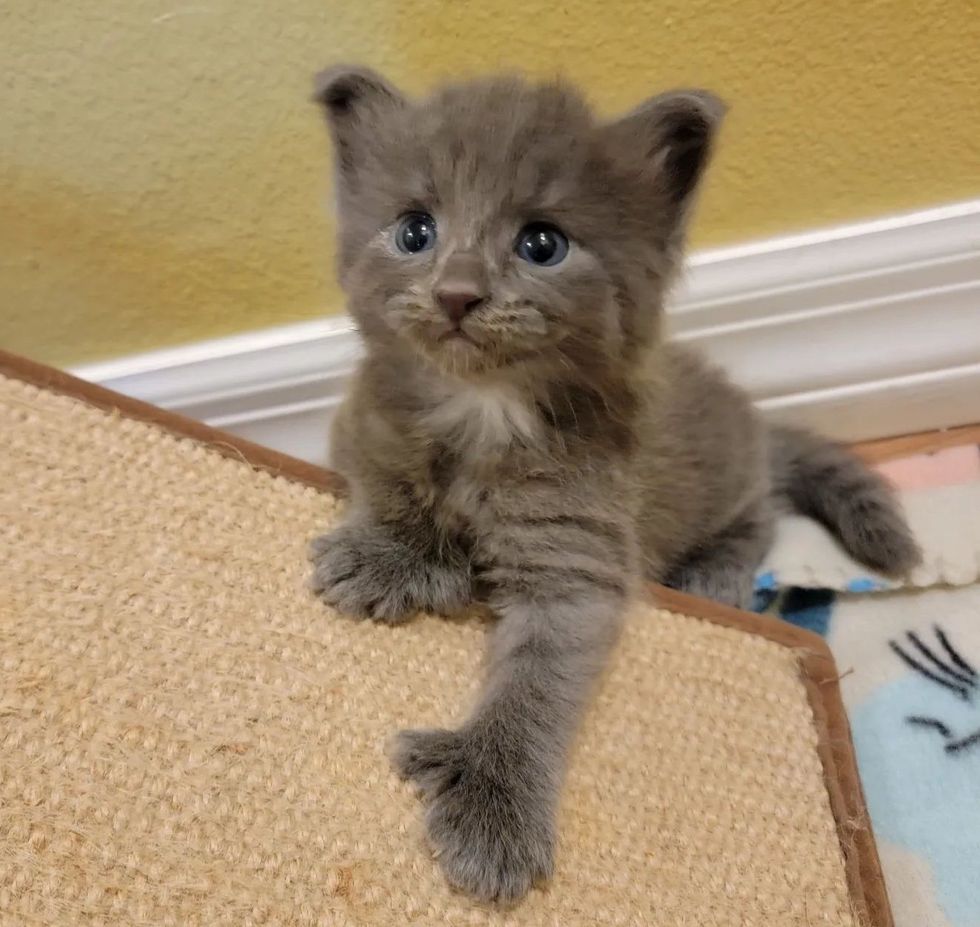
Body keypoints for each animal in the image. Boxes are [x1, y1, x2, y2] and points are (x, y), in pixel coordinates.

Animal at [308, 67, 920, 908]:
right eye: (414, 231)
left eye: (542, 244)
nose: (458, 293)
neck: (483, 409)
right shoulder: (357, 422)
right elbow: (384, 473)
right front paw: (394, 554)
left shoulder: (579, 554)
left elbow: (538, 682)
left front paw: (493, 807)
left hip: (725, 478)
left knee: (762, 508)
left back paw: (717, 570)